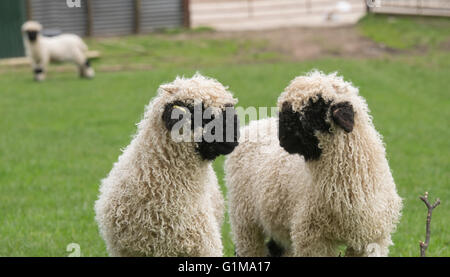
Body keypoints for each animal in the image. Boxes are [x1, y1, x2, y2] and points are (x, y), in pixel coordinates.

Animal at [227, 70, 402, 256]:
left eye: (311, 110)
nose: (282, 140)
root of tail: (255, 124)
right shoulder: (313, 238)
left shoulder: (372, 239)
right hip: (244, 218)